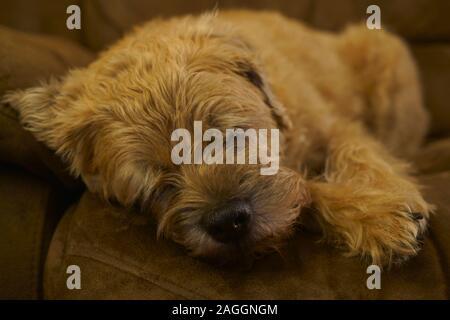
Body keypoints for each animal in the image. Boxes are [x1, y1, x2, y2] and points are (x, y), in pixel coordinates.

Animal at [3, 10, 432, 266]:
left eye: (227, 137)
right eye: (155, 183)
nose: (227, 223)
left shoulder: (331, 124)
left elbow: (355, 152)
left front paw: (376, 209)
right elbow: (305, 189)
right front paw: (372, 214)